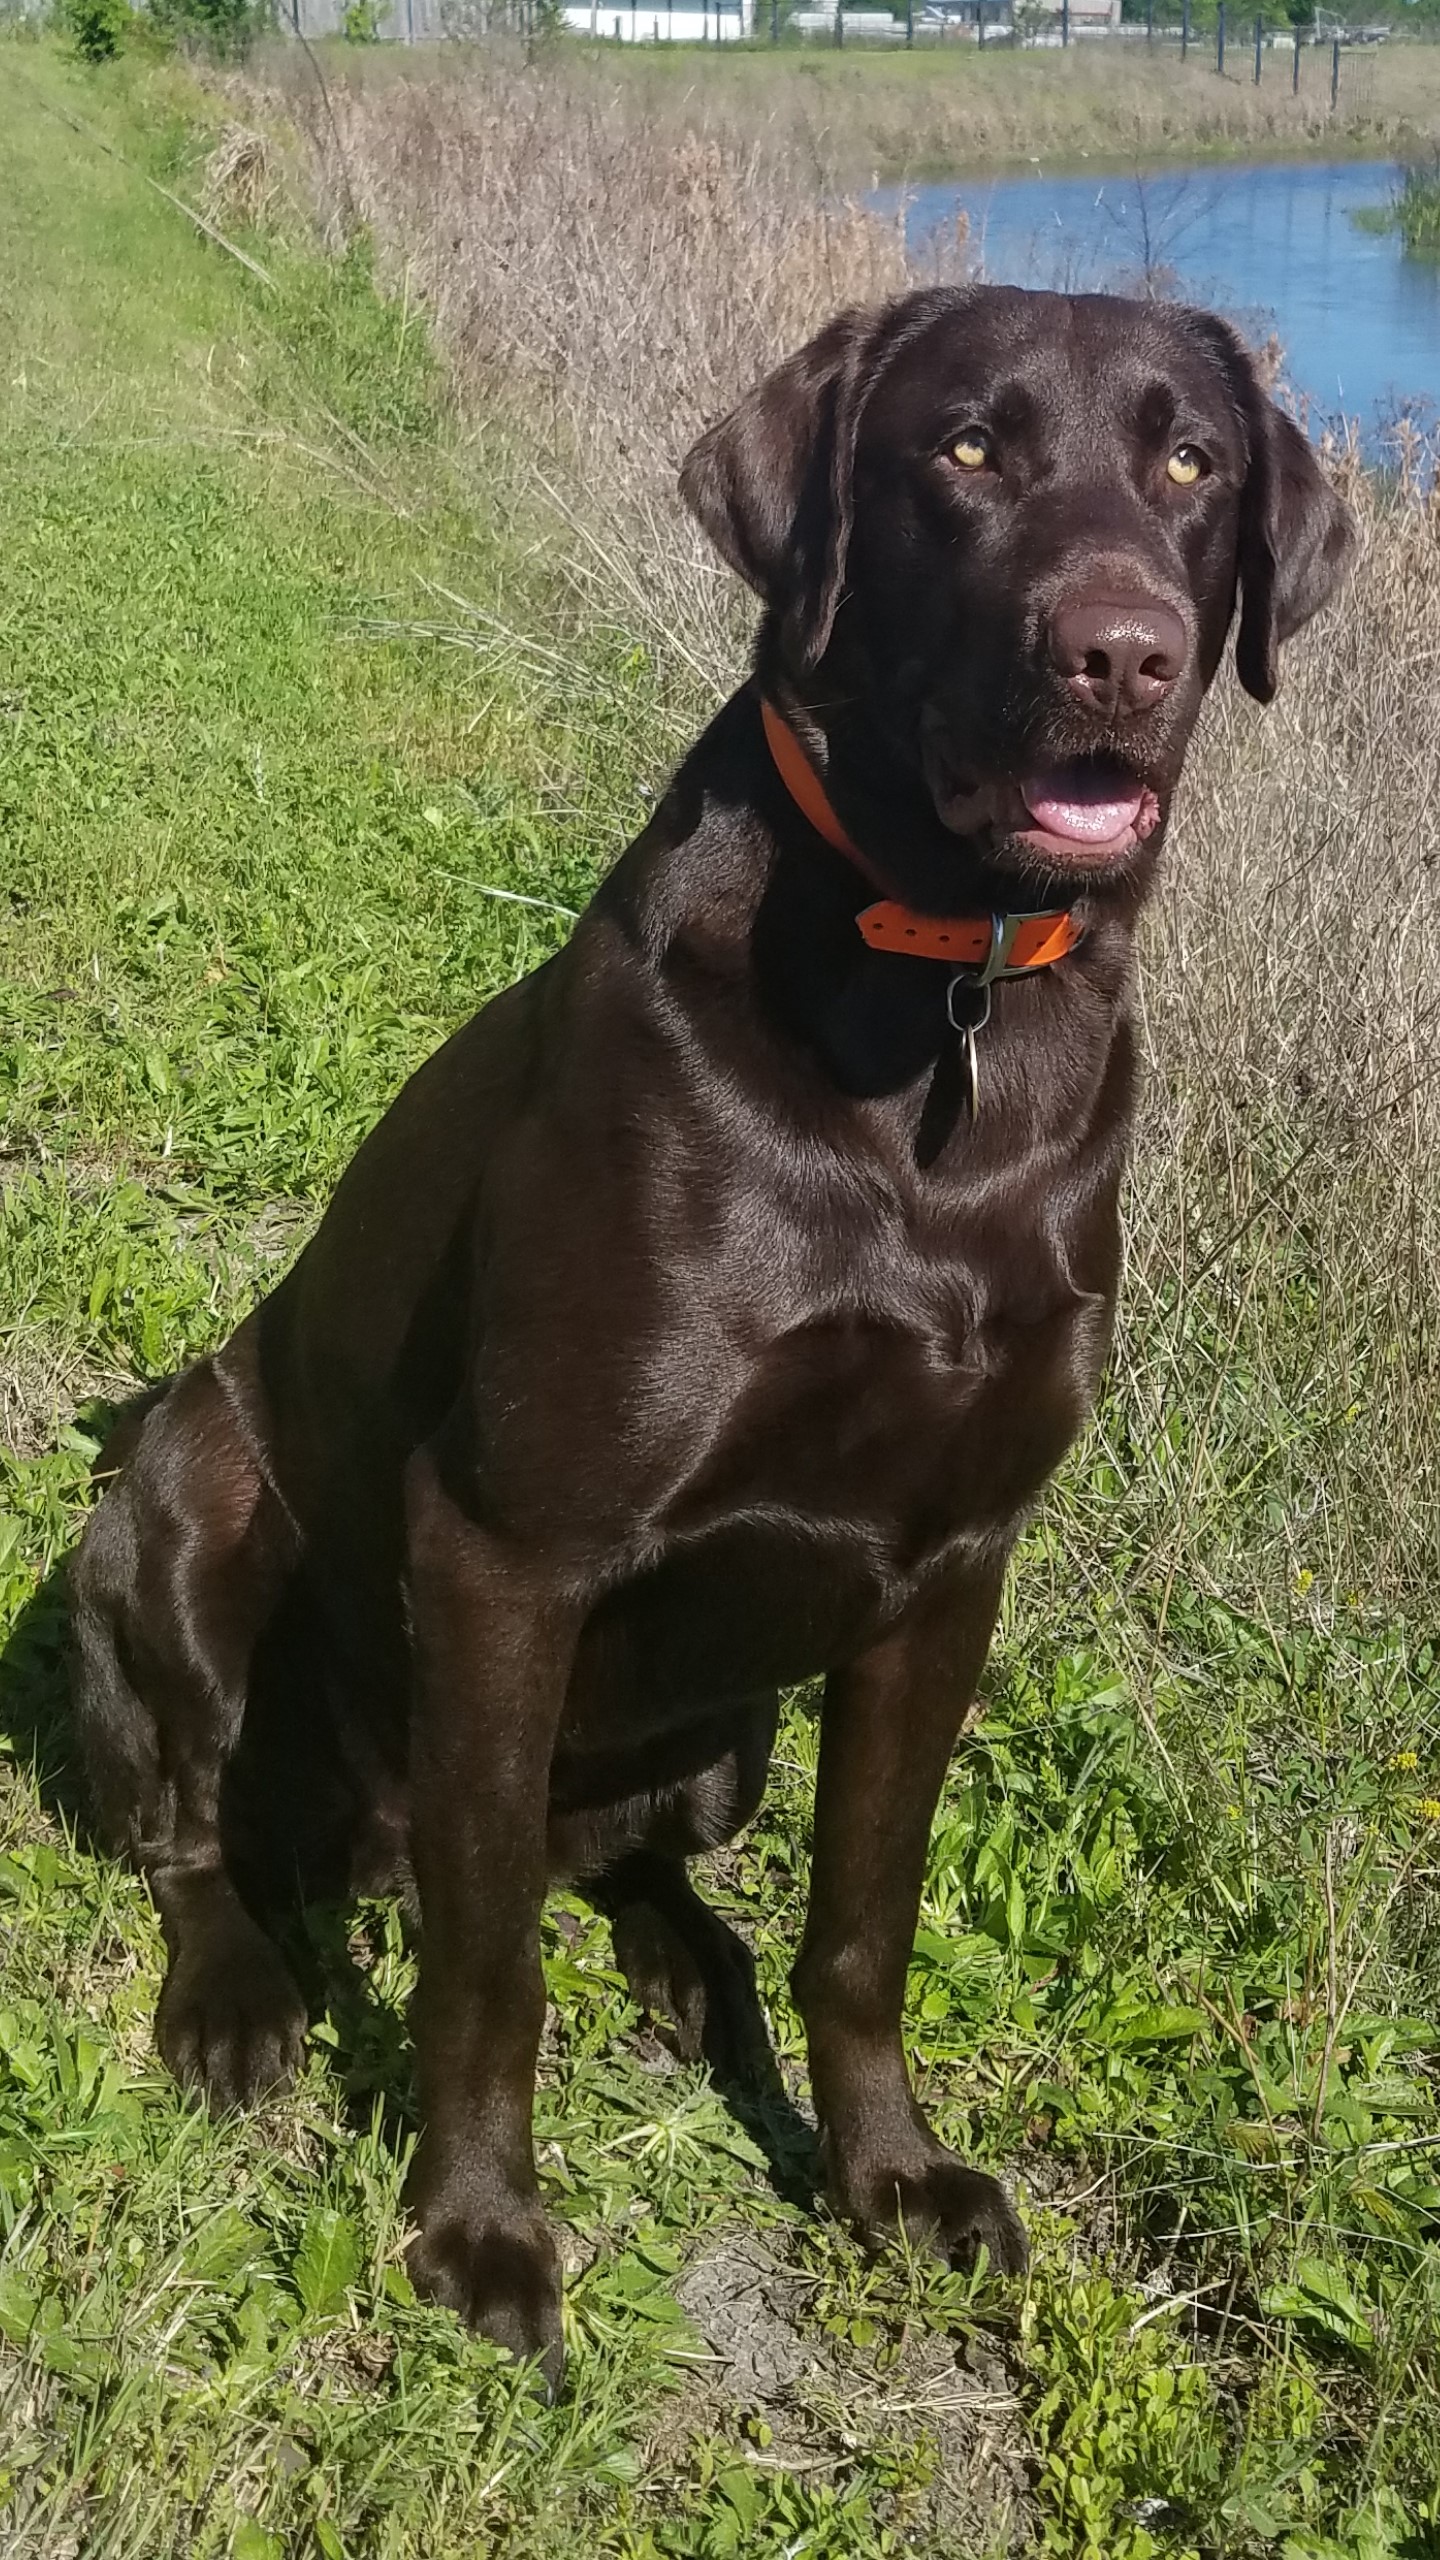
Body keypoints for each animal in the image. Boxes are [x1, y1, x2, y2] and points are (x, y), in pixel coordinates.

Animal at [70, 290, 1342, 2385]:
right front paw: (478, 2229)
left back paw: (687, 1961)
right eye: (966, 449)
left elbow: (863, 1925)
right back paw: (241, 1995)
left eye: (1191, 464)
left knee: (646, 1858)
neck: (941, 1000)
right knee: (206, 1824)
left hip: (733, 1721)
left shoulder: (950, 1568)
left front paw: (889, 2174)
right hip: (187, 1503)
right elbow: (487, 1965)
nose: (1124, 650)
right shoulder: (508, 1547)